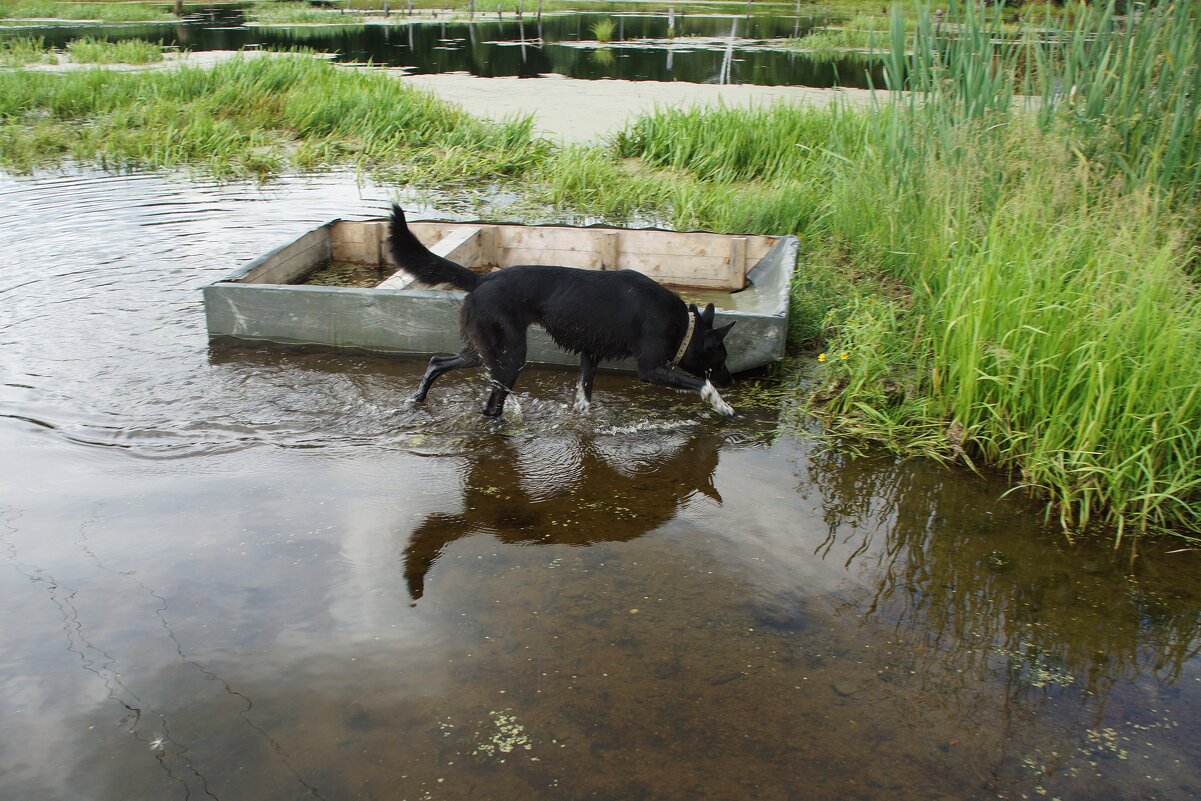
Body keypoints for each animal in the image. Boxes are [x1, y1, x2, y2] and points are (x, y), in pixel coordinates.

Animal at [389, 205, 735, 420]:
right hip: (510, 355)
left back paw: (418, 398)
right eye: (721, 358)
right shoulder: (651, 369)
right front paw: (722, 406)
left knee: (437, 362)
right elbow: (703, 384)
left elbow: (584, 397)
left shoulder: (590, 355)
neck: (684, 325)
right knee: (491, 404)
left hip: (481, 349)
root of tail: (482, 278)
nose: (731, 382)